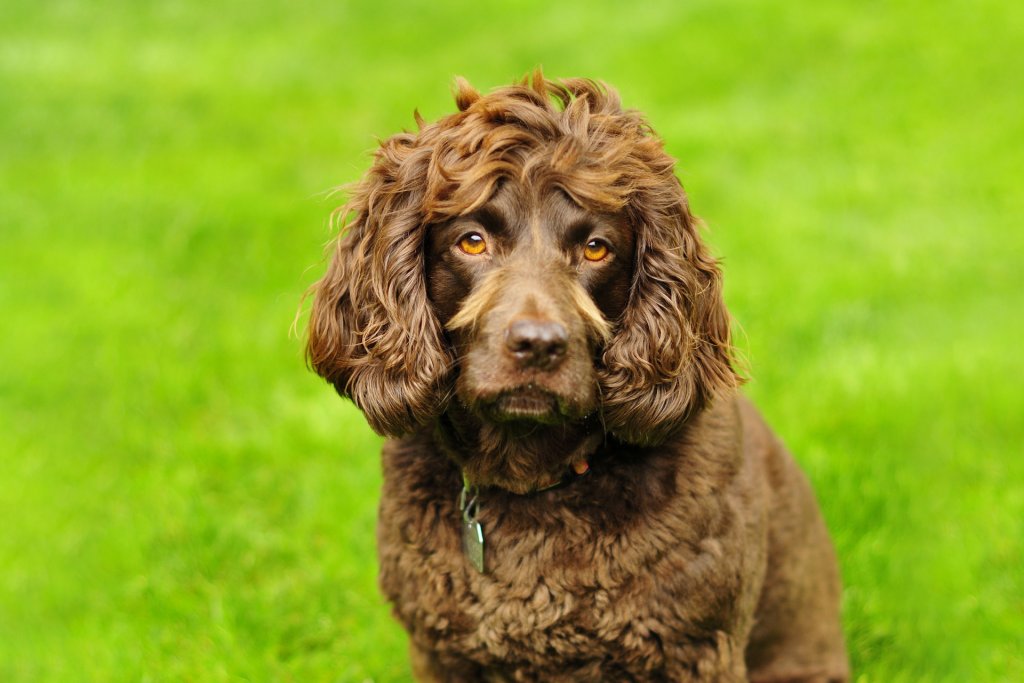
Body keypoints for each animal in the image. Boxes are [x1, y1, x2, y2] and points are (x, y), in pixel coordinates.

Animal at [303, 72, 847, 679]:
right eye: (472, 240)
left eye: (595, 248)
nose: (539, 345)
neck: (531, 482)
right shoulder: (442, 651)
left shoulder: (696, 649)